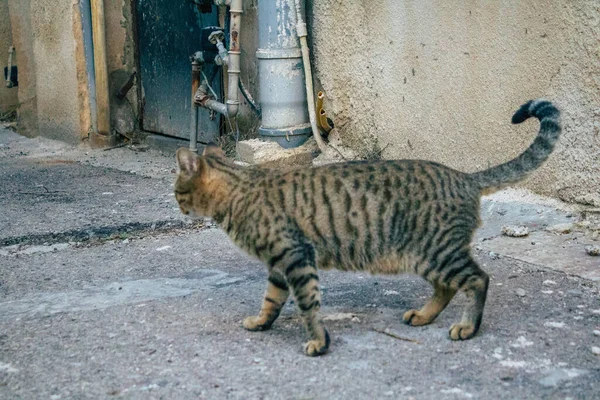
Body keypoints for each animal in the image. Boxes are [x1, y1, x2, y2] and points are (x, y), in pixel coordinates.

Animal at [173, 100, 564, 356]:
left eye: (177, 190)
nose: (177, 205)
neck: (239, 190)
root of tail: (465, 177)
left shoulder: (296, 257)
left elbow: (308, 305)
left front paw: (318, 341)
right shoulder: (279, 266)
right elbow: (271, 300)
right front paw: (261, 322)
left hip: (437, 252)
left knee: (478, 279)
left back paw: (468, 327)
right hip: (426, 256)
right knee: (447, 287)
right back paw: (423, 316)